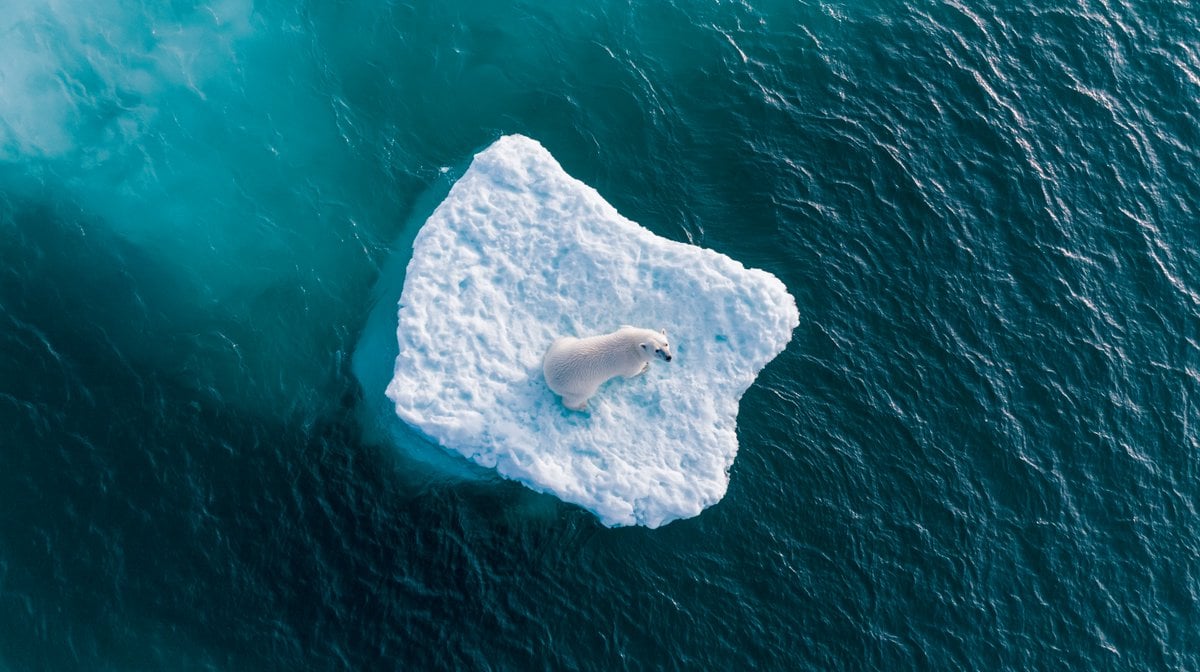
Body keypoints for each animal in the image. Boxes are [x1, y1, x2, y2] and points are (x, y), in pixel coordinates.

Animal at [542, 326, 673, 410]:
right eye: (657, 350)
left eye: (666, 344)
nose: (669, 357)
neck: (633, 343)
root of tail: (549, 378)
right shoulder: (632, 363)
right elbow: (631, 374)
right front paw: (645, 367)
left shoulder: (627, 330)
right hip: (579, 386)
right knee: (575, 398)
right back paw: (581, 407)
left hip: (563, 347)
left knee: (563, 340)